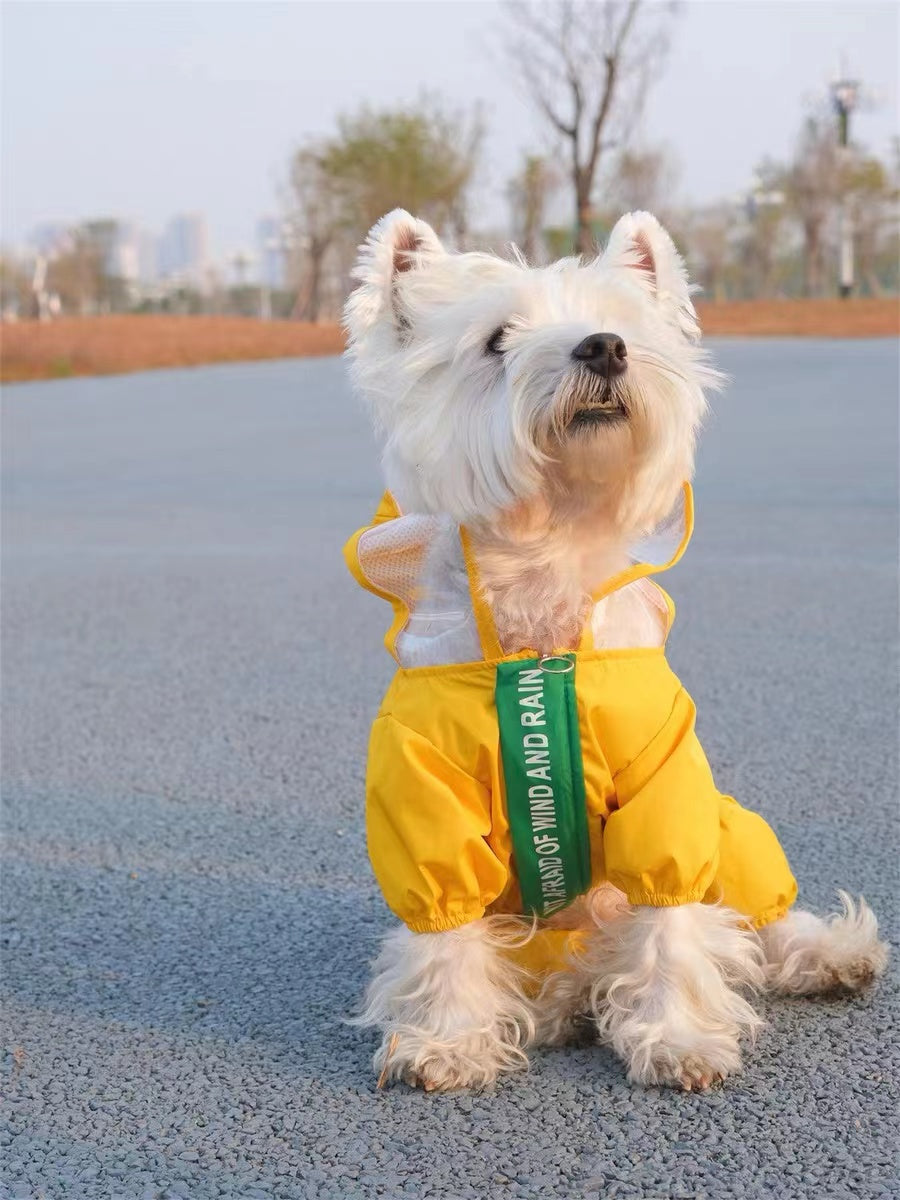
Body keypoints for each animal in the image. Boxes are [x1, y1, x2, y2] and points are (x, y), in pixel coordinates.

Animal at [340, 211, 892, 1094]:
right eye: (496, 339)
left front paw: (678, 1038)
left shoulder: (664, 785)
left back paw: (831, 952)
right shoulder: (424, 799)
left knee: (755, 912)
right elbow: (445, 926)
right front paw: (449, 1041)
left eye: (620, 324)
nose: (603, 348)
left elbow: (670, 916)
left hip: (730, 827)